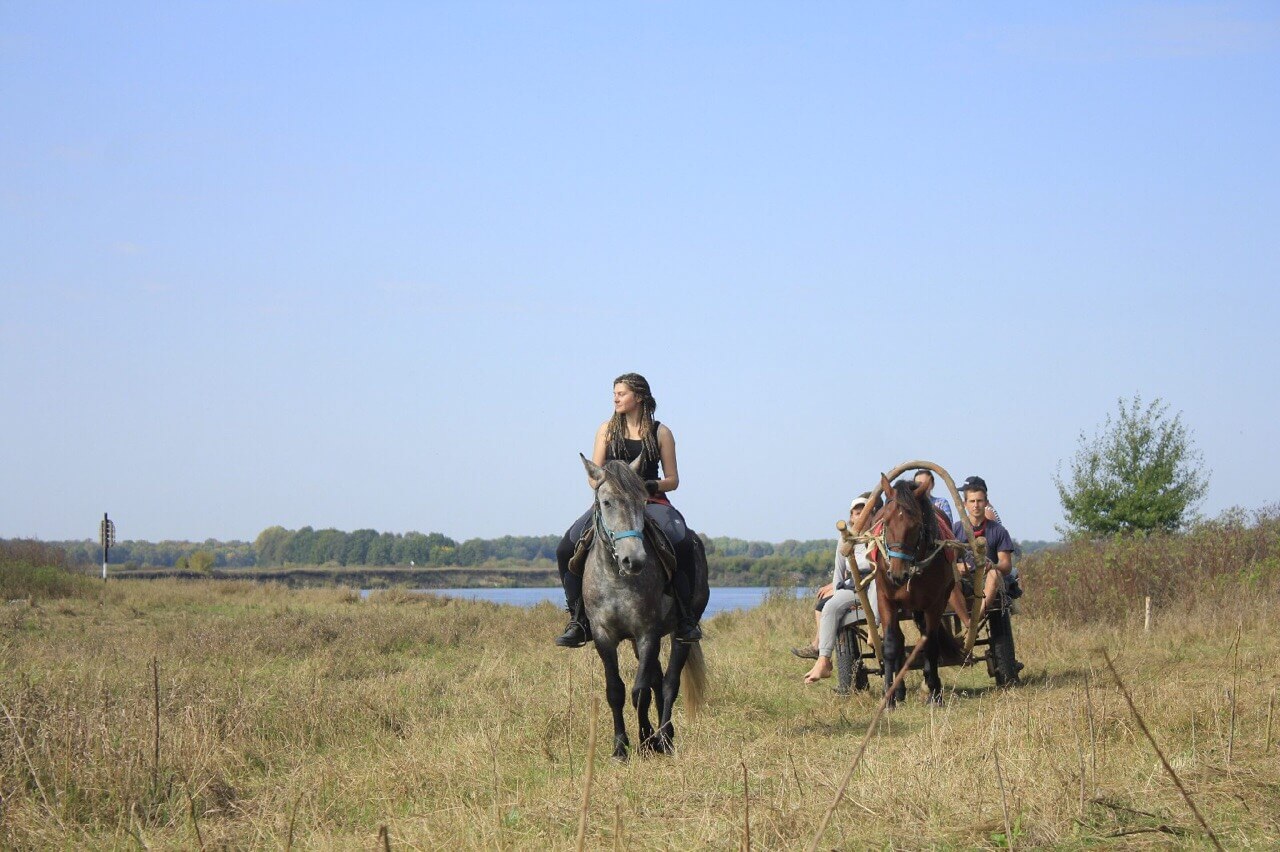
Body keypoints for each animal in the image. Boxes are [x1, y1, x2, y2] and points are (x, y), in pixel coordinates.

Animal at [581, 450, 711, 757]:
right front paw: (620, 747)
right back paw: (662, 736)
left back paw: (664, 738)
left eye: (642, 502)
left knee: (669, 683)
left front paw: (644, 742)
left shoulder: (647, 633)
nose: (634, 560)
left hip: (679, 634)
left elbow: (640, 691)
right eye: (607, 502)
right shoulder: (604, 636)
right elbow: (616, 690)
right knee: (657, 680)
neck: (616, 577)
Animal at [870, 470, 962, 701]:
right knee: (900, 641)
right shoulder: (886, 598)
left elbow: (930, 645)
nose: (897, 573)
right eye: (886, 522)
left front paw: (935, 693)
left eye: (916, 525)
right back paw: (899, 690)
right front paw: (889, 697)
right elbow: (891, 645)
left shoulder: (935, 603)